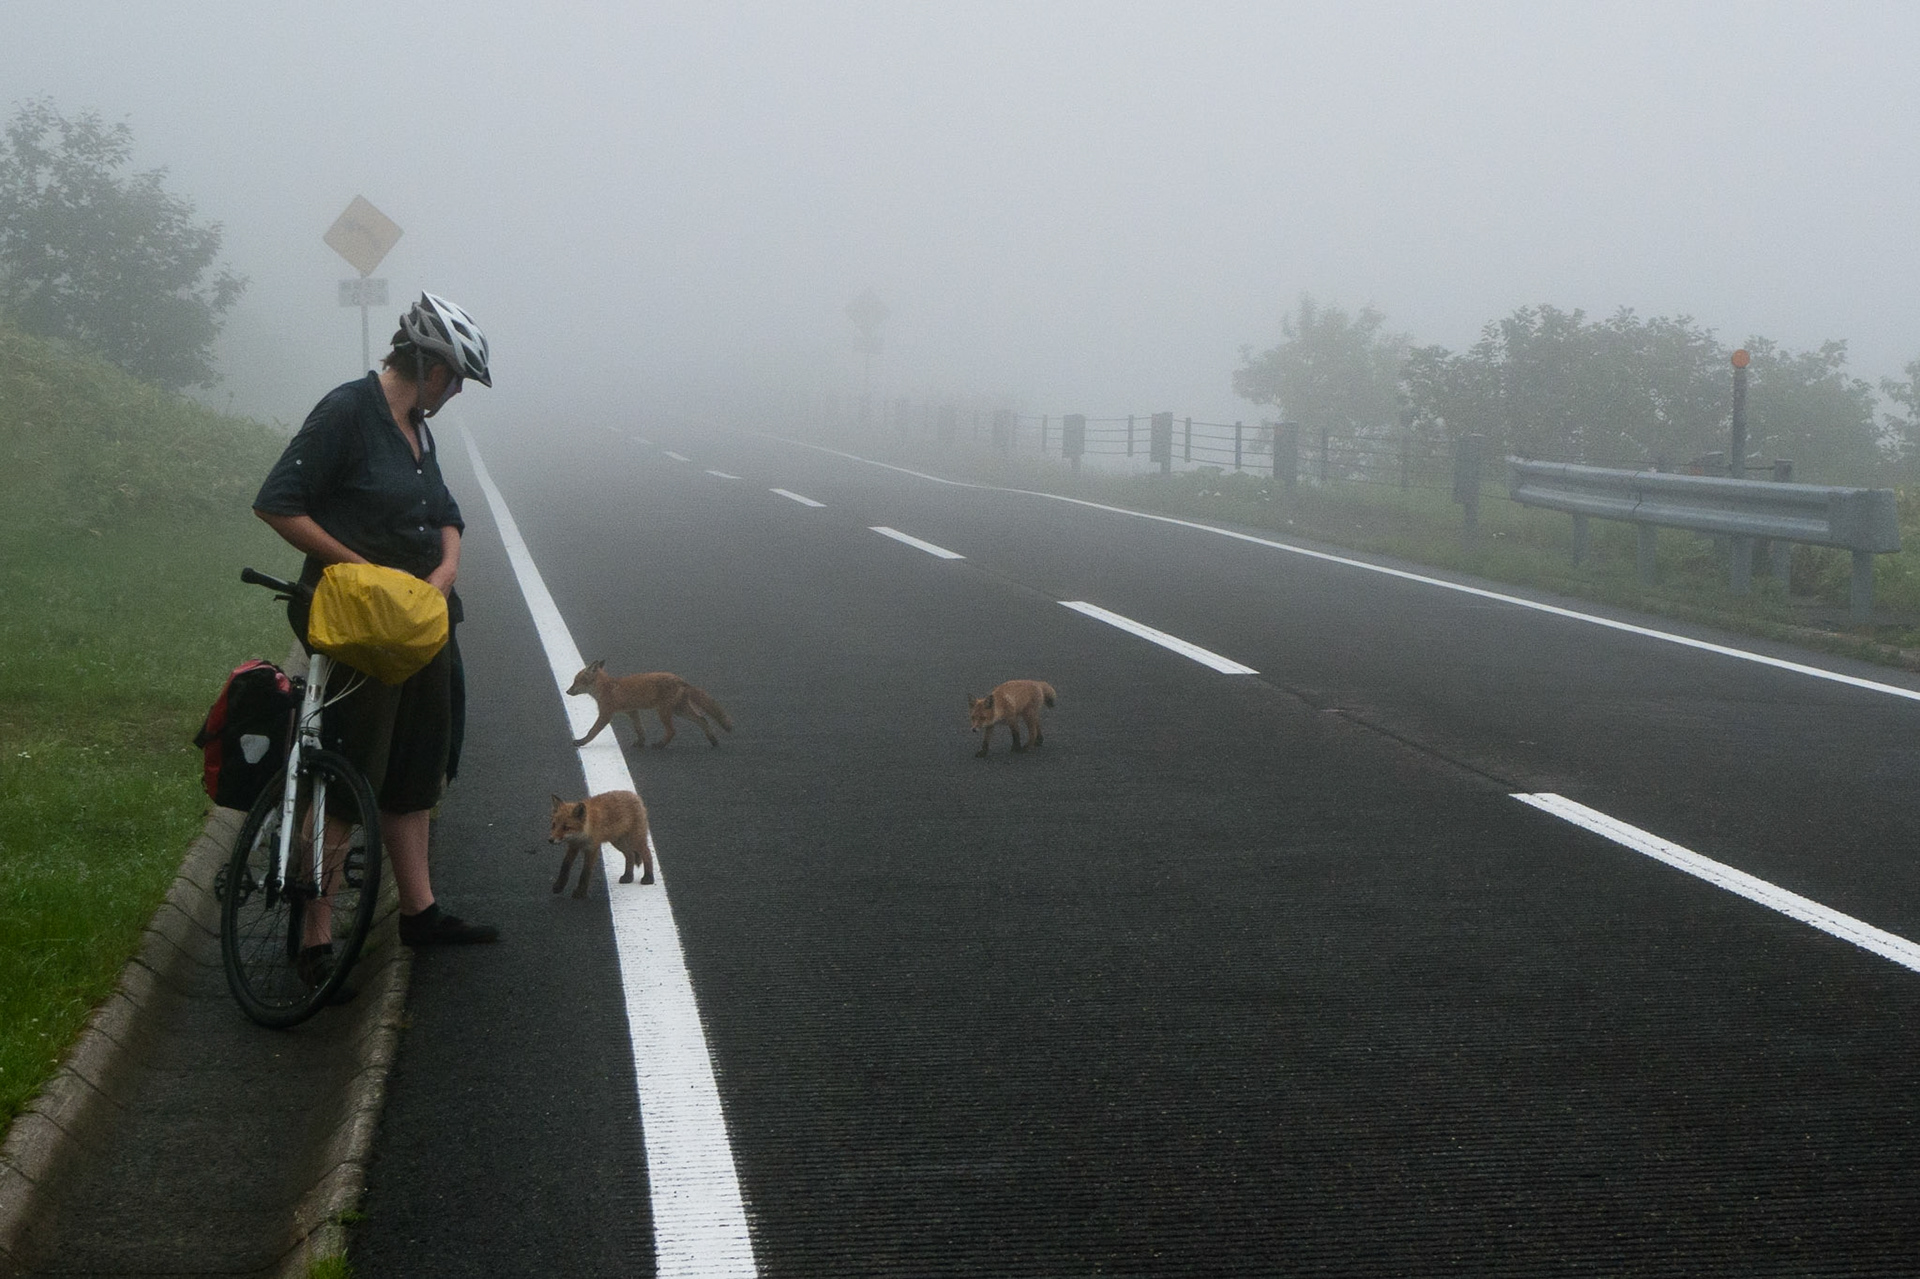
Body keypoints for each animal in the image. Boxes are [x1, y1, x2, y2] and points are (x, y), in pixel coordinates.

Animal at [566, 659, 733, 749]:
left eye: (576, 681)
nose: (567, 691)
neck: (606, 687)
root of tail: (681, 680)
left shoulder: (606, 714)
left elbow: (592, 731)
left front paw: (581, 742)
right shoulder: (632, 711)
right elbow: (639, 729)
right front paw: (640, 743)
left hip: (664, 711)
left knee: (673, 730)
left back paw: (660, 745)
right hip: (679, 710)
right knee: (702, 719)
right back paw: (713, 740)